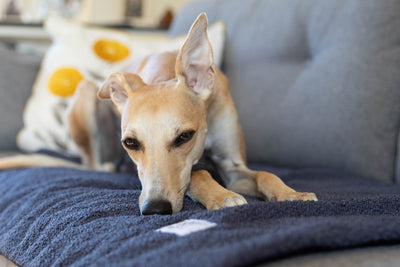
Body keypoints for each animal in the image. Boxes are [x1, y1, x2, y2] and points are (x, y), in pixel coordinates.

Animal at [0, 14, 318, 216]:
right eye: (130, 143)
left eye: (185, 136)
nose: (155, 209)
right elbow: (198, 173)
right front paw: (222, 196)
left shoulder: (233, 167)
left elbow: (265, 173)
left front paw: (293, 194)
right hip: (87, 95)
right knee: (96, 164)